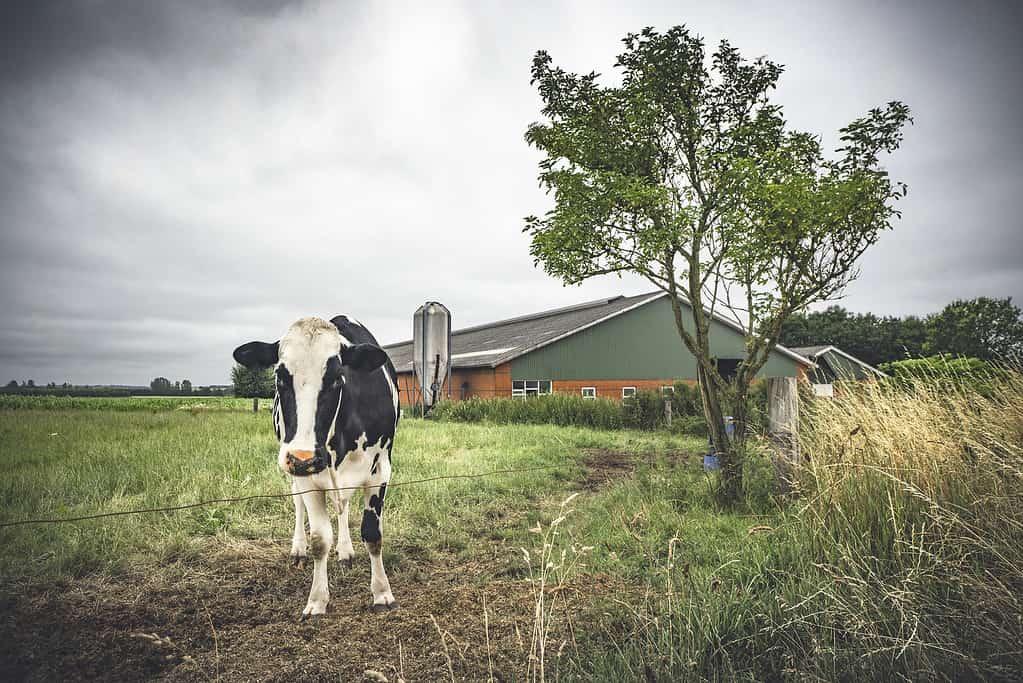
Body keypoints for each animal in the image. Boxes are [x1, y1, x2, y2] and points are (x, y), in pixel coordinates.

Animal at [234, 316, 398, 617]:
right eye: (280, 377)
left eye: (336, 378)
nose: (303, 456)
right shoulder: (307, 477)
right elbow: (320, 540)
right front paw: (317, 600)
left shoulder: (381, 470)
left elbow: (372, 534)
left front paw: (382, 593)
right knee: (300, 505)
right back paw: (298, 549)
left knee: (343, 506)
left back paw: (345, 551)